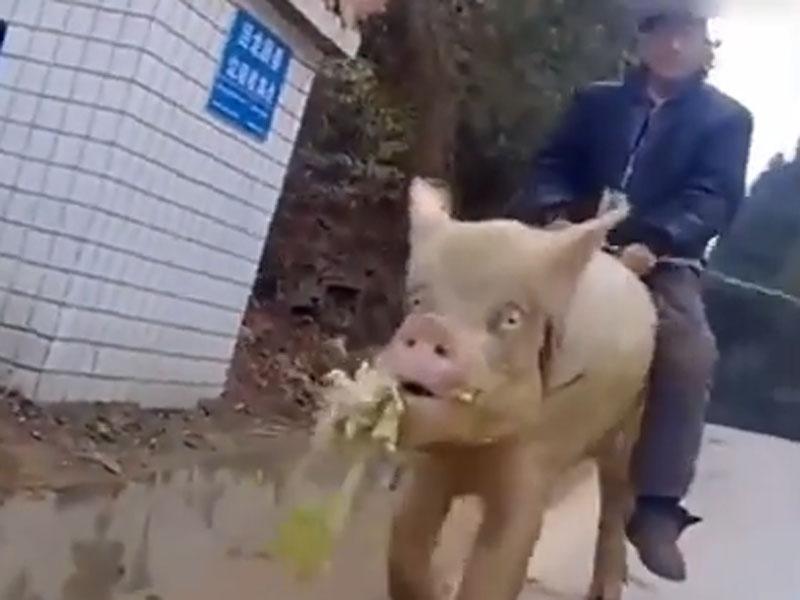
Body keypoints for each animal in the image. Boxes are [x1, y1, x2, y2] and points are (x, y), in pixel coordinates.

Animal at [377, 178, 657, 600]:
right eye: (417, 300)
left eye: (511, 318)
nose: (429, 327)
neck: (471, 453)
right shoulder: (430, 466)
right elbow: (405, 545)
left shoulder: (534, 461)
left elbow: (499, 565)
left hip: (630, 422)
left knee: (615, 499)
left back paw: (606, 591)